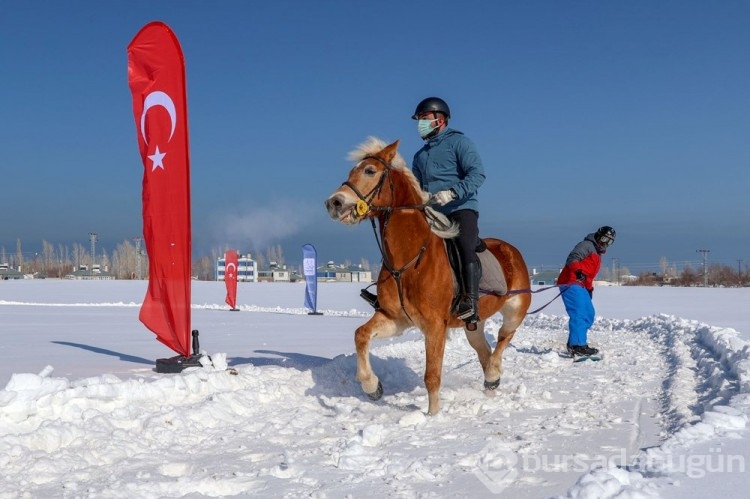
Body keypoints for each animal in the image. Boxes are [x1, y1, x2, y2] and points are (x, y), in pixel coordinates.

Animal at [326, 139, 532, 416]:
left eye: (369, 171)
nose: (334, 203)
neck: (408, 261)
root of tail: (511, 249)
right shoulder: (395, 319)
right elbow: (361, 334)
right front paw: (372, 386)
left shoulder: (434, 326)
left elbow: (432, 376)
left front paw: (433, 416)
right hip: (473, 324)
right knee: (484, 349)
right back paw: (491, 382)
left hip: (514, 312)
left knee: (502, 339)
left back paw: (492, 373)